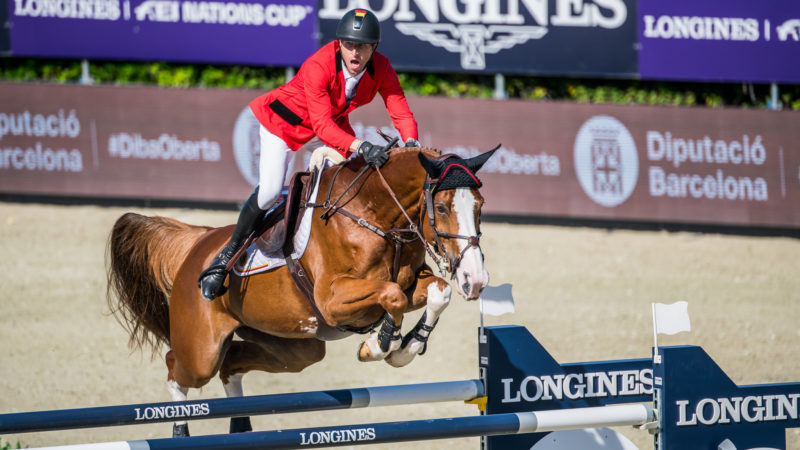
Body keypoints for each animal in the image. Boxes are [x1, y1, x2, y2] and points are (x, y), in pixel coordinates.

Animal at [106, 144, 494, 436]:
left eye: (480, 205)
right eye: (440, 207)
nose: (475, 279)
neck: (374, 215)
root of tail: (198, 243)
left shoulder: (412, 282)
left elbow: (437, 291)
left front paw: (406, 347)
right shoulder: (333, 301)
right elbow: (391, 295)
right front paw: (378, 345)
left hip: (294, 347)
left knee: (232, 364)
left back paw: (241, 427)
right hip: (202, 348)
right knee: (178, 367)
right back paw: (181, 430)